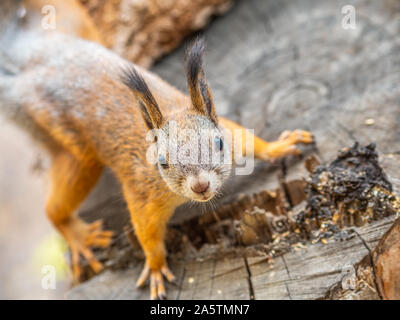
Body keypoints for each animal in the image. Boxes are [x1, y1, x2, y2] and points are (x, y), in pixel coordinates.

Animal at [0, 0, 312, 300]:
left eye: (218, 143)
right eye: (162, 161)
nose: (201, 186)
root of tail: (29, 63)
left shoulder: (232, 135)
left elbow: (251, 141)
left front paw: (281, 146)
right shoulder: (142, 193)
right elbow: (147, 233)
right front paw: (155, 267)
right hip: (77, 151)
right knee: (54, 209)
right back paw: (78, 236)